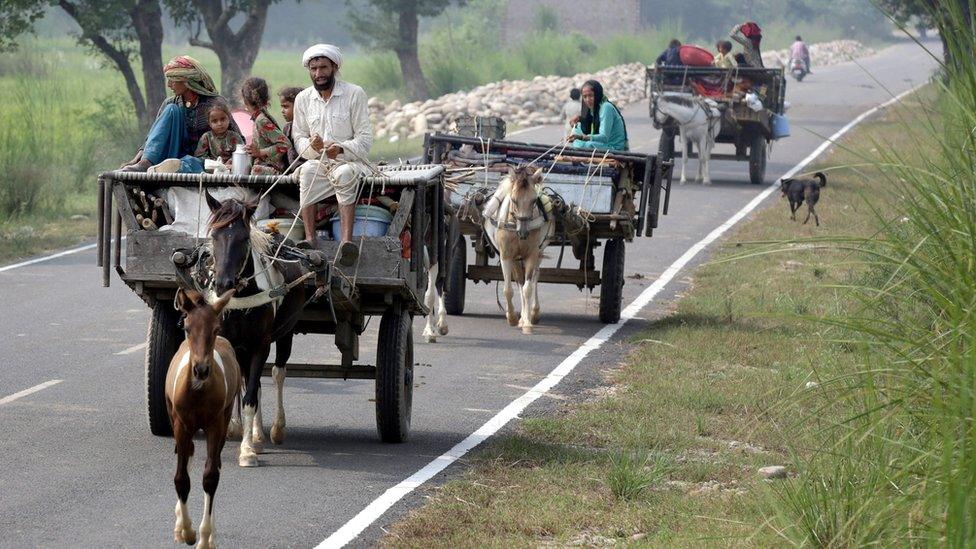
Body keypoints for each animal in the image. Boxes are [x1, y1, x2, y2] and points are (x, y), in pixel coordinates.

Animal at [166, 288, 238, 544]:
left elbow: (210, 476)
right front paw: (186, 530)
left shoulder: (215, 425)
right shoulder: (181, 425)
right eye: (187, 328)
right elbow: (181, 478)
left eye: (215, 329)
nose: (201, 370)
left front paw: (205, 537)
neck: (197, 391)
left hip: (224, 419)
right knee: (187, 456)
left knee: (214, 464)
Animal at [482, 164, 552, 334]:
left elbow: (528, 287)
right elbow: (509, 289)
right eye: (513, 200)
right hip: (515, 259)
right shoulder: (507, 256)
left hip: (539, 252)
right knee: (519, 280)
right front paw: (513, 318)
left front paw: (527, 322)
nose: (523, 232)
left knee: (534, 277)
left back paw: (533, 313)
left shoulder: (532, 254)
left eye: (534, 200)